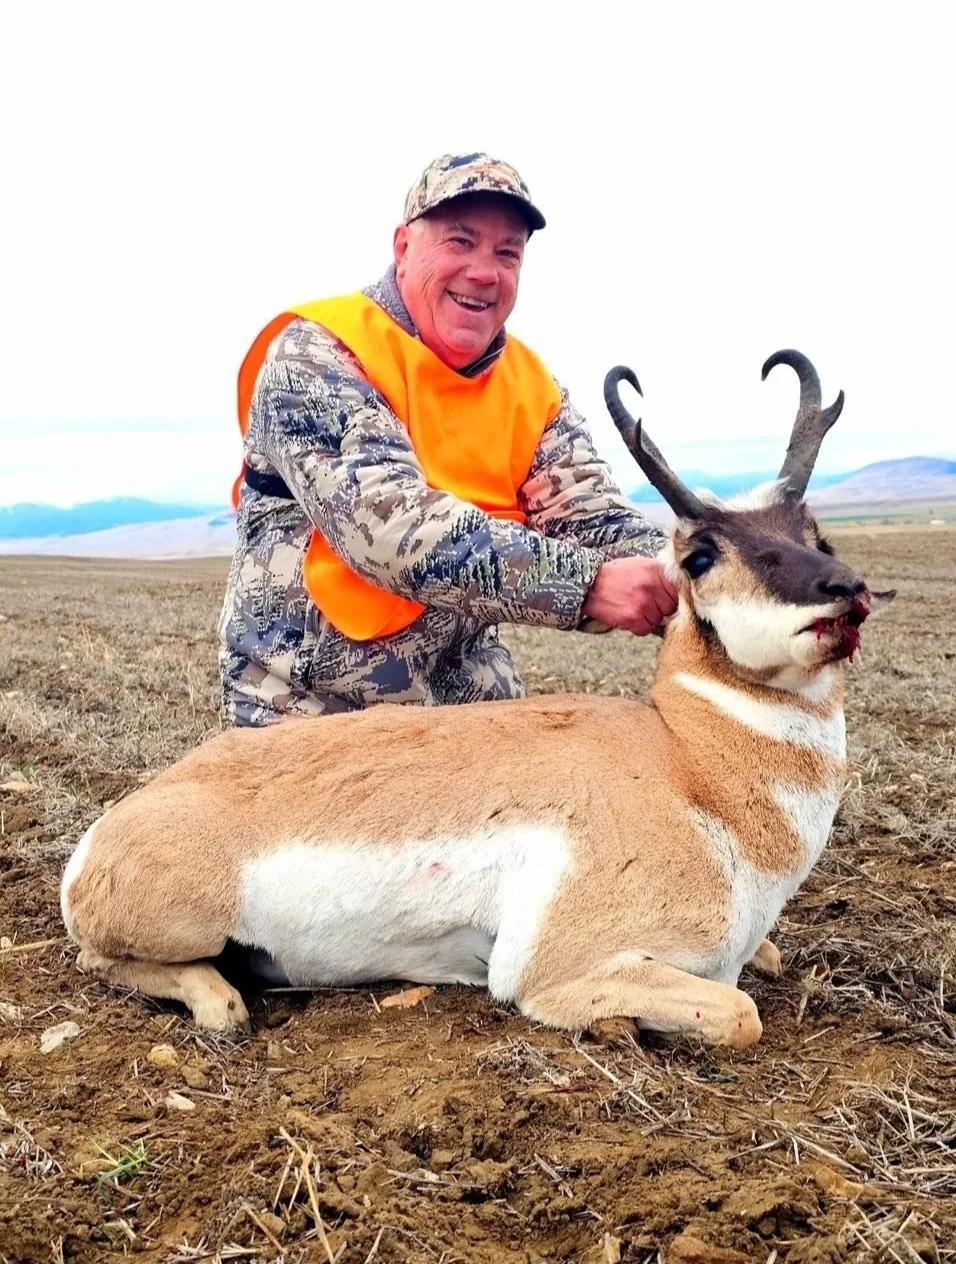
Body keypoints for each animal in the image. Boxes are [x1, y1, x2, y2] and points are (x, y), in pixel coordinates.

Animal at [60, 351, 890, 1046]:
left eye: (815, 532)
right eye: (699, 556)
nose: (846, 589)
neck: (688, 765)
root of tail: (108, 831)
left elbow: (766, 963)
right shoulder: (553, 970)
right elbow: (740, 1011)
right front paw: (618, 1027)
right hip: (184, 921)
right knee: (110, 962)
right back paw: (219, 1001)